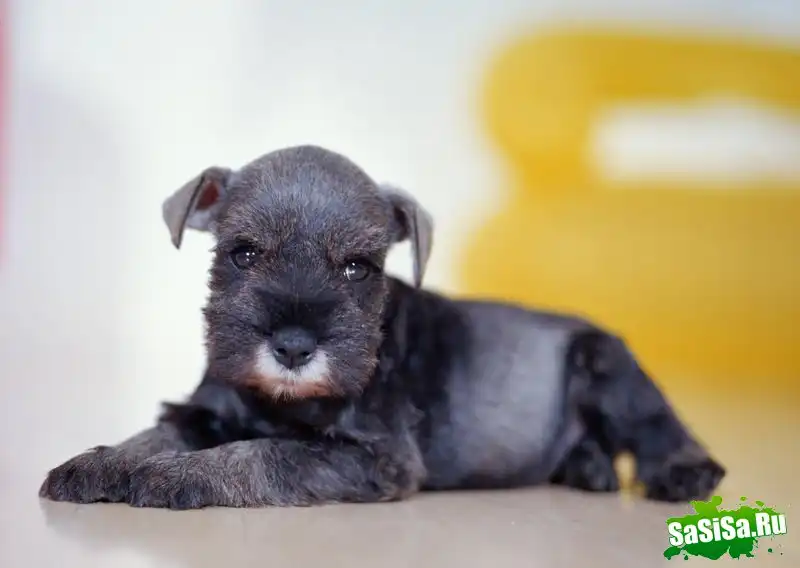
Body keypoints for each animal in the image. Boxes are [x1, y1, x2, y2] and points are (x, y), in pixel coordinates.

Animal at [39, 145, 725, 509]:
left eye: (357, 268)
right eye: (243, 253)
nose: (293, 347)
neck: (276, 401)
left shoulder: (372, 458)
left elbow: (263, 452)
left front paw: (175, 476)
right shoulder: (200, 411)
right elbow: (154, 433)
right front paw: (98, 463)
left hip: (606, 366)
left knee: (660, 426)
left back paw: (682, 473)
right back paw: (587, 469)